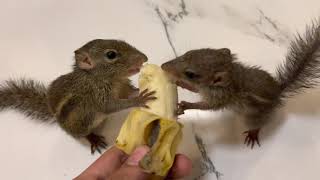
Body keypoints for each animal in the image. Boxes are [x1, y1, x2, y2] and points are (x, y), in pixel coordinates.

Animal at [0, 39, 156, 153]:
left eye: (123, 41)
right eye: (111, 55)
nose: (144, 58)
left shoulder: (123, 88)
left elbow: (129, 92)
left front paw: (139, 91)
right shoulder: (98, 96)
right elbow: (112, 106)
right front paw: (140, 99)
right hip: (82, 124)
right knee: (84, 134)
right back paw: (93, 138)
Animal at [161, 20, 320, 148]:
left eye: (190, 74)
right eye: (188, 53)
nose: (163, 66)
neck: (231, 74)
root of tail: (278, 91)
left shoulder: (219, 98)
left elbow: (205, 106)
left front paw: (185, 104)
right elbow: (194, 90)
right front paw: (179, 83)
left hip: (253, 117)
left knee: (259, 125)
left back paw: (253, 134)